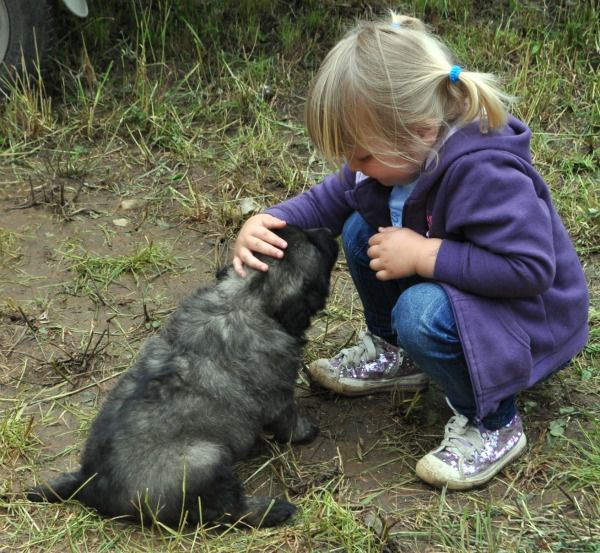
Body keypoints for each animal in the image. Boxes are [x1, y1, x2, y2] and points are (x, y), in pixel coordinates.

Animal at [29, 226, 338, 528]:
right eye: (318, 245)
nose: (329, 233)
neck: (245, 297)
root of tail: (89, 482)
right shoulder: (278, 394)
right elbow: (289, 419)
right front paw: (307, 432)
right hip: (204, 459)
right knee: (227, 511)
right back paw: (274, 509)